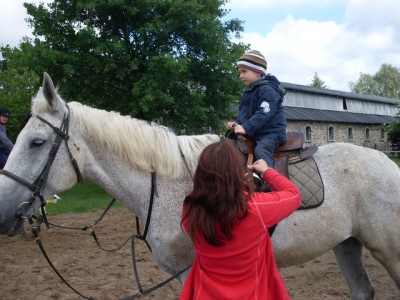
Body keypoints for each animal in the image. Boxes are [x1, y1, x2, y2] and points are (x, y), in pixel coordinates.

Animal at [0, 73, 400, 300]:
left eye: (36, 142)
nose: (4, 213)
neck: (167, 183)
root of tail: (386, 163)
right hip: (346, 243)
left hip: (389, 250)